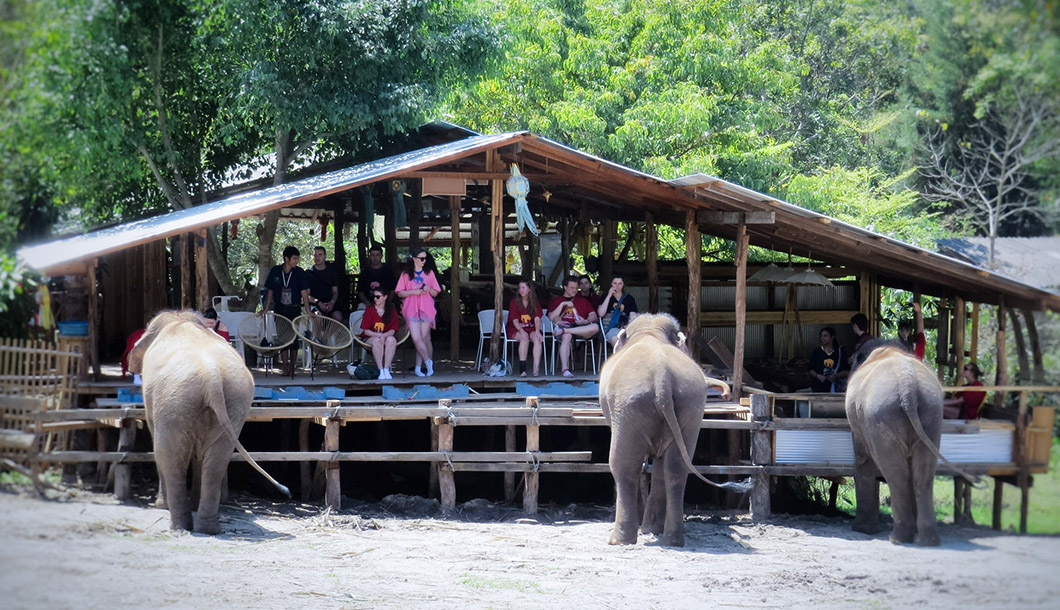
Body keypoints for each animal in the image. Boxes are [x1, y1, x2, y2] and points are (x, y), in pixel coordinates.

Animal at [128, 310, 289, 534]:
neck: (178, 319)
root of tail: (210, 377)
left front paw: (160, 505)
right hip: (234, 404)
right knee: (217, 459)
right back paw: (207, 527)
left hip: (174, 401)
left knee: (167, 453)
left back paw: (179, 525)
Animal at [599, 313, 743, 547]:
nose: (724, 394)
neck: (650, 332)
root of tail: (662, 378)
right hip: (689, 406)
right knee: (676, 467)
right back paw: (670, 539)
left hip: (629, 406)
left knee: (624, 465)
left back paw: (619, 540)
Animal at [845, 340, 946, 545]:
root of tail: (909, 389)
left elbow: (862, 459)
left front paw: (862, 529)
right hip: (931, 415)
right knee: (923, 476)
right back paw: (928, 539)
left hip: (880, 415)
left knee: (895, 474)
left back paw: (898, 538)